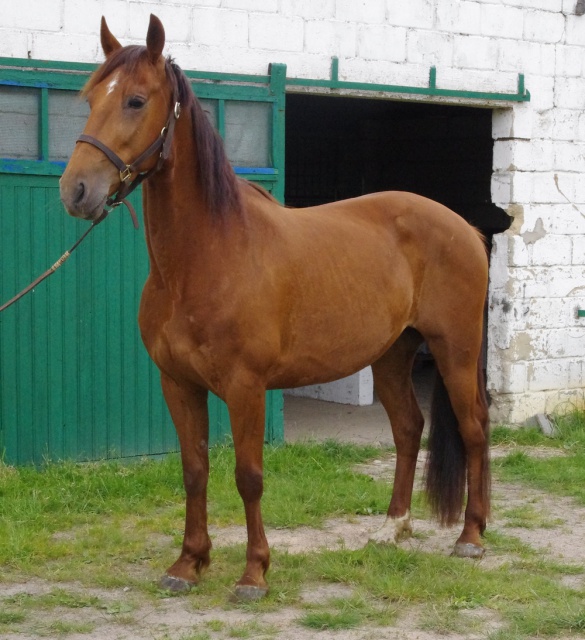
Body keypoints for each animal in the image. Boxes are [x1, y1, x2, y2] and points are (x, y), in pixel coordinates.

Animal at [60, 15, 488, 604]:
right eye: (89, 98)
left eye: (136, 100)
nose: (76, 190)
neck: (207, 257)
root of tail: (465, 227)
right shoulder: (178, 384)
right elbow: (194, 470)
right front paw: (188, 564)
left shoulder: (246, 386)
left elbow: (249, 475)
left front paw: (253, 574)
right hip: (391, 354)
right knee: (408, 427)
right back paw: (391, 529)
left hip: (455, 351)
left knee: (474, 429)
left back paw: (471, 537)